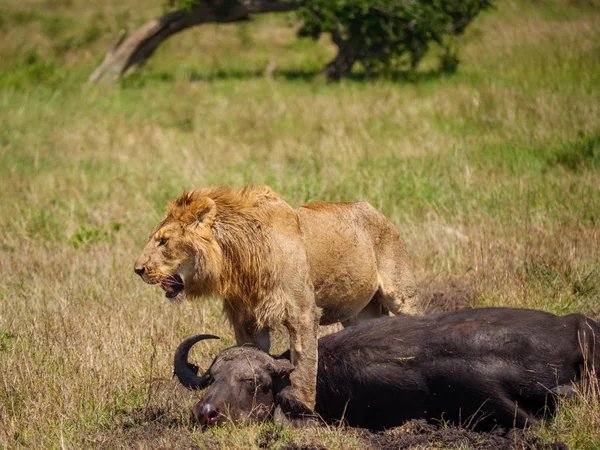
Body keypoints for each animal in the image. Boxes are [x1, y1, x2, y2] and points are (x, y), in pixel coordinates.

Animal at [134, 185, 420, 410]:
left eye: (163, 241)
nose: (137, 269)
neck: (237, 261)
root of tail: (371, 208)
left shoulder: (303, 314)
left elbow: (304, 369)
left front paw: (302, 414)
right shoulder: (247, 322)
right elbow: (250, 360)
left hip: (400, 292)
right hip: (359, 312)